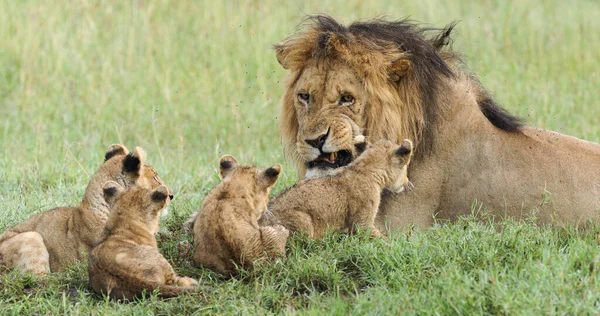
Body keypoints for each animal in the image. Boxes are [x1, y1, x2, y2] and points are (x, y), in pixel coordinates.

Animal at [262, 137, 412, 238]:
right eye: (405, 167)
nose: (407, 181)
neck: (365, 168)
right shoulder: (362, 224)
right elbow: (383, 241)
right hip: (303, 222)